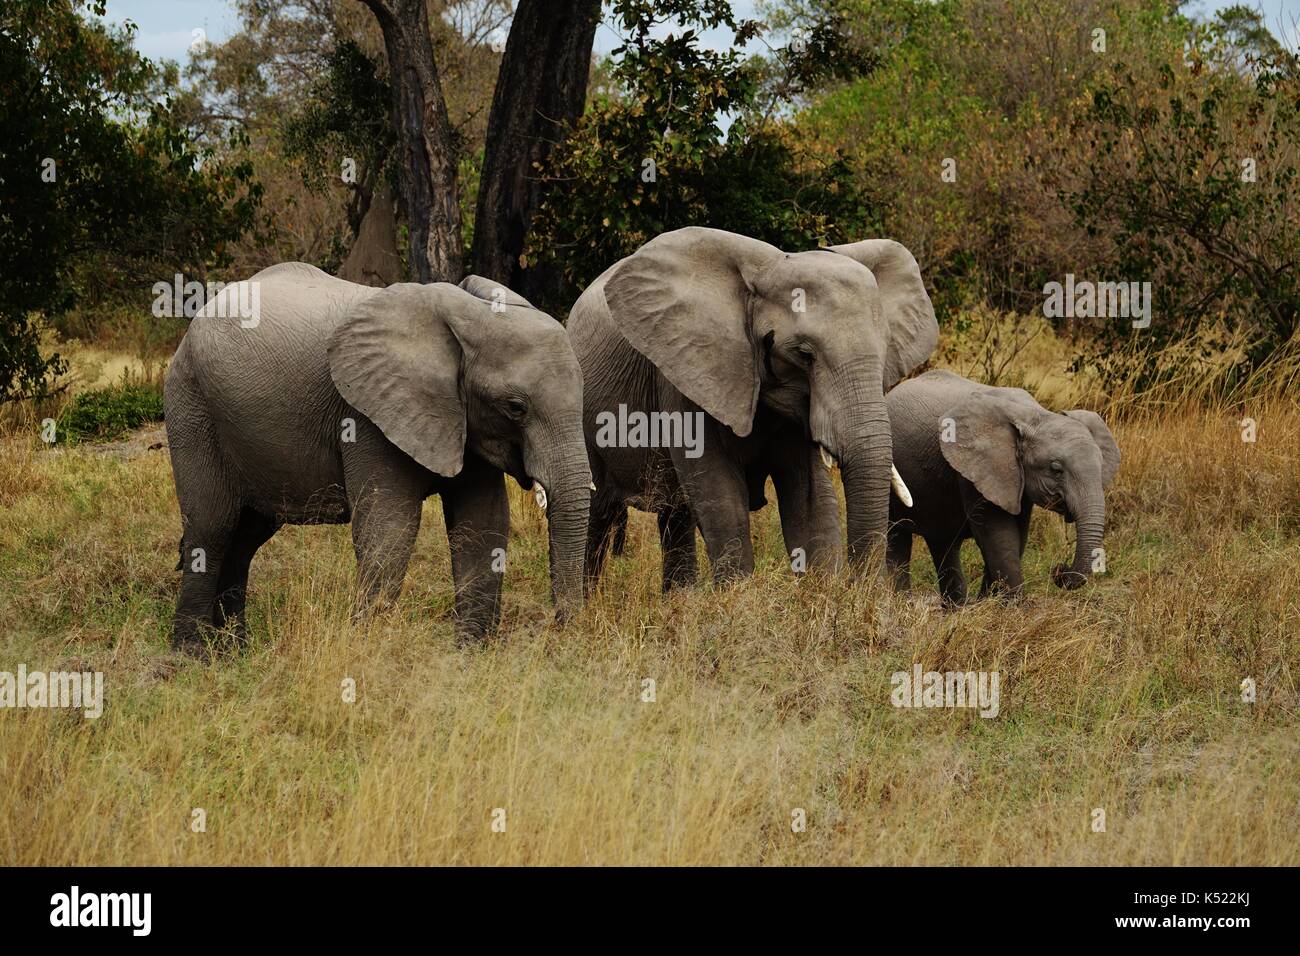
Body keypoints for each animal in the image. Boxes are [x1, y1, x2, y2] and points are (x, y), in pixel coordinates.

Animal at [165, 261, 592, 655]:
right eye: (516, 407)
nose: (560, 624)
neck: (467, 315)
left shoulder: (464, 421)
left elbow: (483, 524)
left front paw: (469, 656)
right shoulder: (367, 416)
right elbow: (389, 529)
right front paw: (367, 650)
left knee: (247, 535)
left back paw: (234, 649)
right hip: (191, 404)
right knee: (213, 527)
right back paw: (192, 654)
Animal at [569, 231, 935, 590]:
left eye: (885, 349)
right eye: (804, 354)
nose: (862, 587)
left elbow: (810, 497)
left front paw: (822, 594)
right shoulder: (688, 371)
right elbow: (720, 493)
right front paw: (736, 598)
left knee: (677, 512)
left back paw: (679, 597)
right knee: (599, 509)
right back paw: (590, 599)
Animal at [889, 369, 1123, 600]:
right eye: (1056, 469)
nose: (1058, 570)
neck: (1036, 415)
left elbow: (1018, 534)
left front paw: (990, 601)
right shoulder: (977, 470)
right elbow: (999, 535)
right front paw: (1011, 606)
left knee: (943, 543)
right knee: (898, 536)